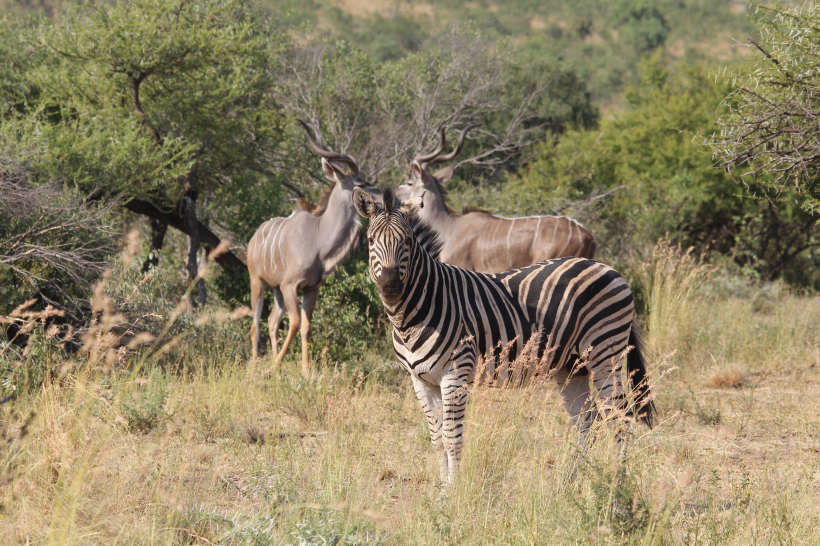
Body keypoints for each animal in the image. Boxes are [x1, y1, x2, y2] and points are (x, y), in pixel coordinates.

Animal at [248, 121, 380, 374]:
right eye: (360, 184)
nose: (382, 197)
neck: (319, 240)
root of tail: (253, 238)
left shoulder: (311, 289)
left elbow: (306, 327)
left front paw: (306, 372)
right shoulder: (291, 286)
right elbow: (295, 323)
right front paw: (276, 366)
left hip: (276, 289)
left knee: (271, 321)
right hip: (258, 282)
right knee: (255, 325)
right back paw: (254, 370)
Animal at [352, 186, 652, 480]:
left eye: (407, 241)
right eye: (370, 240)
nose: (390, 286)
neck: (414, 315)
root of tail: (609, 268)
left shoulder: (455, 372)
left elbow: (452, 438)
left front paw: (454, 491)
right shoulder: (421, 380)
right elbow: (436, 439)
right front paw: (442, 489)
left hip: (605, 352)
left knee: (620, 417)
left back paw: (617, 485)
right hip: (572, 365)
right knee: (586, 420)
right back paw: (570, 483)